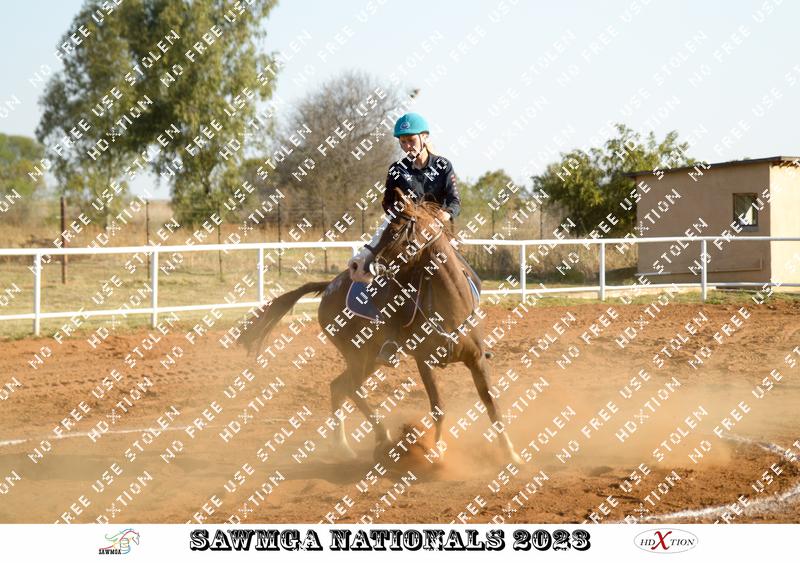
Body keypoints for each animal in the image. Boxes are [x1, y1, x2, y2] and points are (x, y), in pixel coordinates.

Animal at [239, 188, 523, 465]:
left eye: (395, 229)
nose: (355, 264)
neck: (451, 305)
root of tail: (329, 286)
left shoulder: (477, 359)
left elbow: (492, 405)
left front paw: (511, 454)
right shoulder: (424, 361)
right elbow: (438, 408)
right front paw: (438, 453)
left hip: (369, 359)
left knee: (338, 387)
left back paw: (343, 447)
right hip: (357, 355)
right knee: (351, 388)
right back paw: (382, 437)